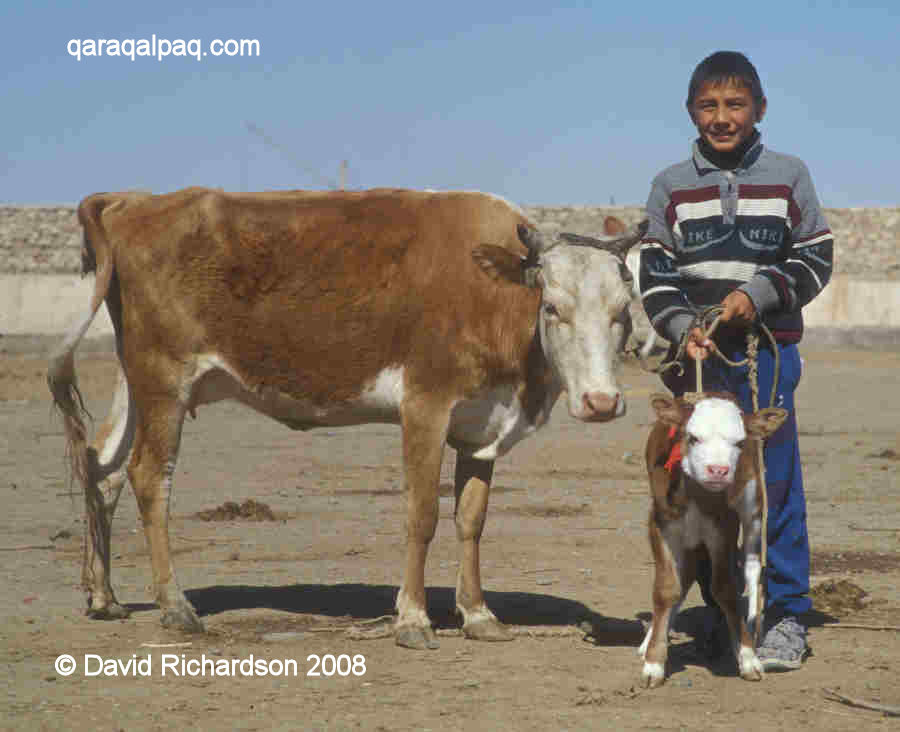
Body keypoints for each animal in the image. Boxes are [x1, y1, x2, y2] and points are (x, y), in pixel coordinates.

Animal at [48, 187, 643, 650]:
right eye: (553, 307)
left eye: (623, 312)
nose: (601, 402)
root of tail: (133, 201)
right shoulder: (424, 406)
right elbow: (422, 516)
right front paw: (412, 620)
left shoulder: (481, 424)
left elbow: (470, 520)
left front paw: (479, 616)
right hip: (164, 382)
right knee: (149, 478)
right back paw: (175, 605)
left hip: (137, 383)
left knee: (104, 468)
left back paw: (104, 596)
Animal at [637, 392, 786, 686]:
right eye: (693, 437)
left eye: (739, 442)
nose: (718, 470)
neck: (696, 495)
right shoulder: (660, 523)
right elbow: (667, 588)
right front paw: (654, 662)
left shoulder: (723, 529)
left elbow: (726, 589)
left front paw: (747, 656)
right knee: (684, 580)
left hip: (753, 505)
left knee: (752, 567)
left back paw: (751, 627)